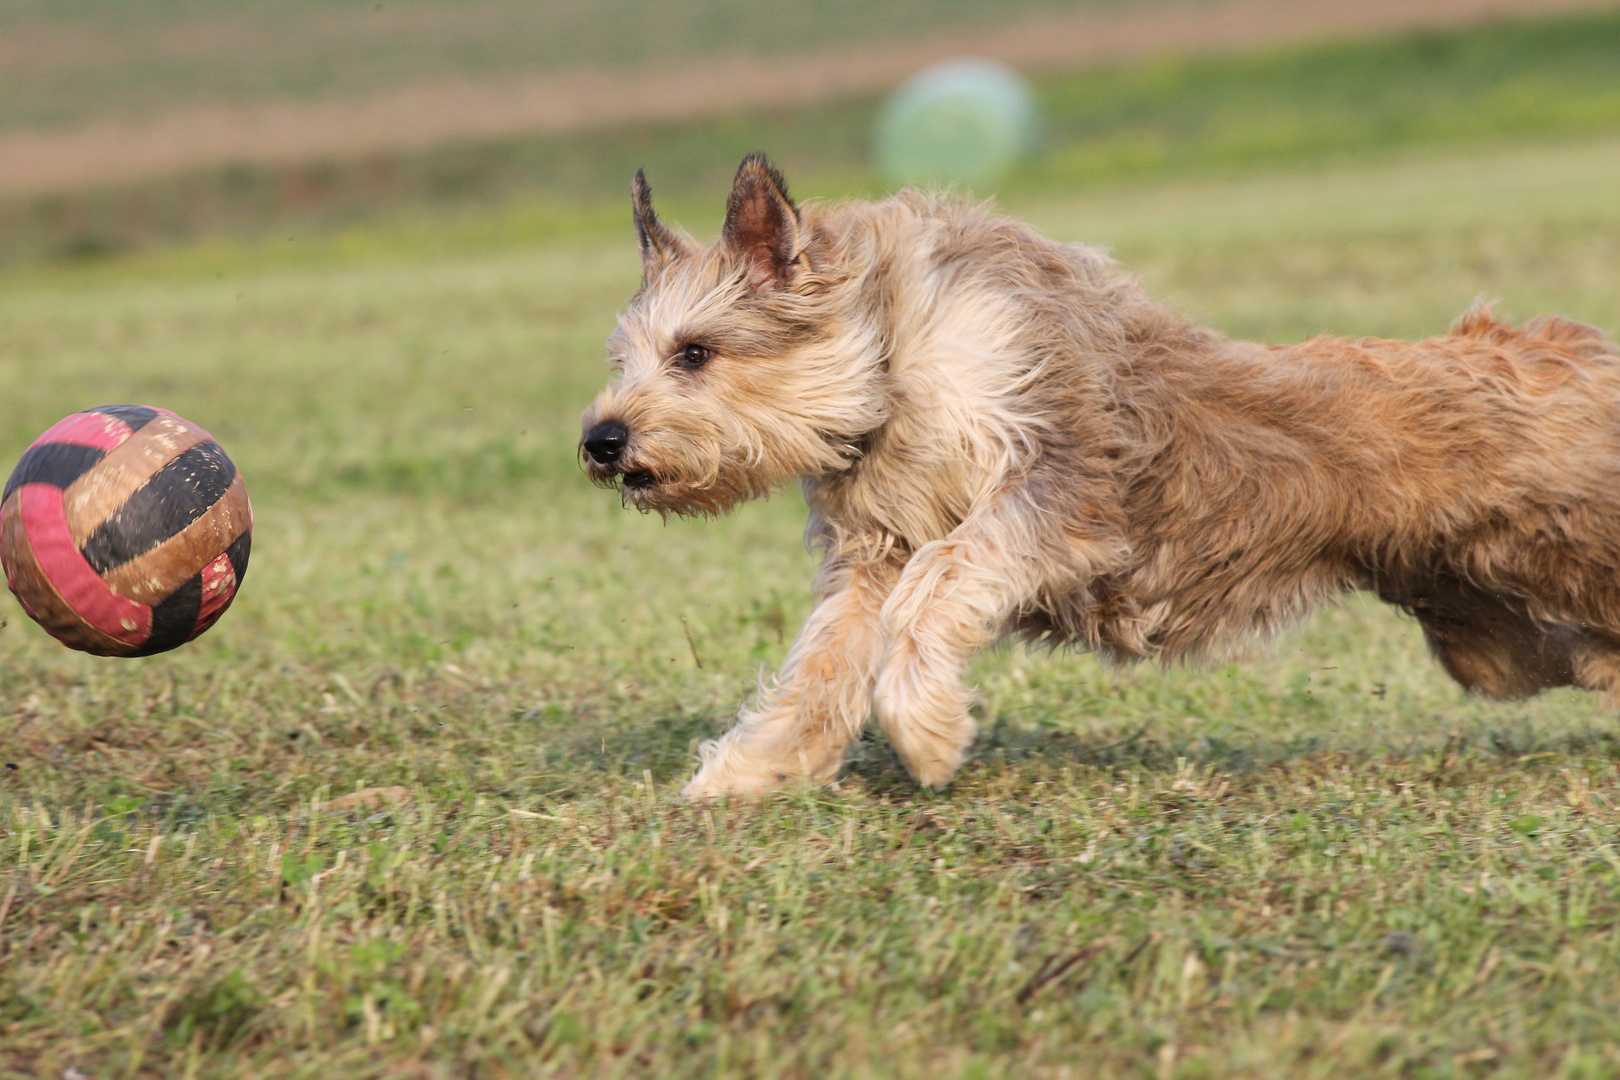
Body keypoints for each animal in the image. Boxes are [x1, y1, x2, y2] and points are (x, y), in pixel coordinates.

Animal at [583, 152, 1620, 799]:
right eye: (621, 358)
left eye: (694, 352)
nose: (598, 441)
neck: (893, 358)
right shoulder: (872, 547)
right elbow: (826, 661)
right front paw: (755, 770)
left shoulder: (1061, 483)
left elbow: (943, 579)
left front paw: (927, 730)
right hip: (1484, 630)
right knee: (1567, 657)